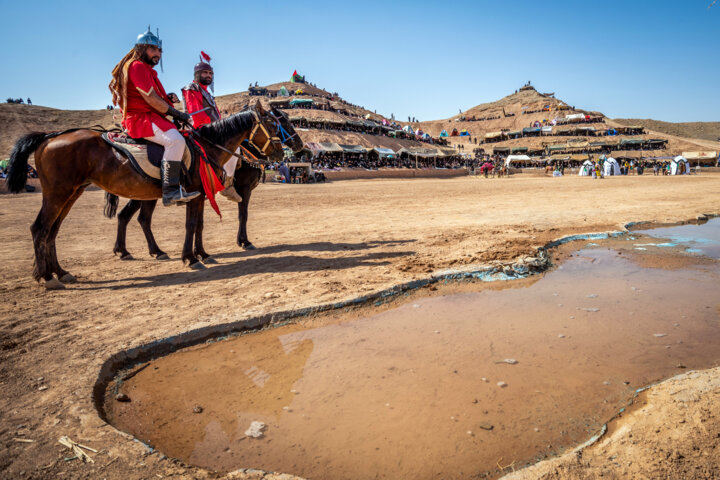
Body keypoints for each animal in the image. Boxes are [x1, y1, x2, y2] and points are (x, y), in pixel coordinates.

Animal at [7, 101, 296, 288]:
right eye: (276, 123)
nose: (286, 152)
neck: (208, 147)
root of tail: (50, 137)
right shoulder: (221, 192)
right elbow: (200, 223)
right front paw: (192, 257)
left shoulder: (200, 195)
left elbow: (199, 225)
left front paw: (202, 254)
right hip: (60, 193)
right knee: (41, 228)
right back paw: (47, 277)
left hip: (75, 193)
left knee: (57, 230)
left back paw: (64, 270)